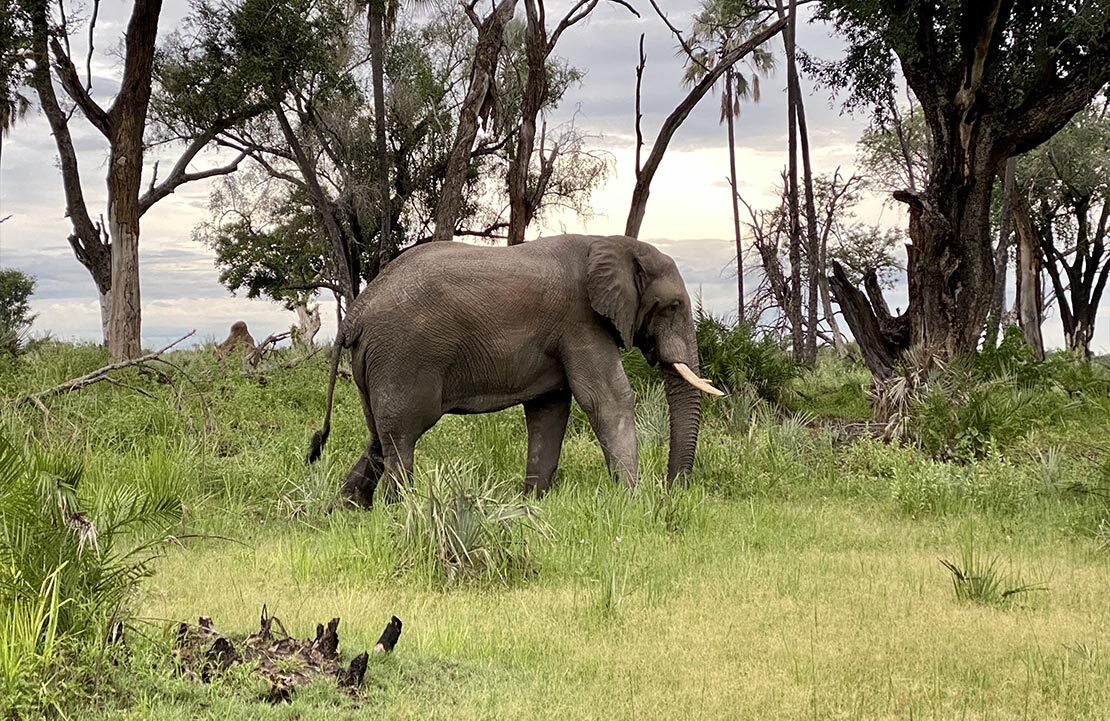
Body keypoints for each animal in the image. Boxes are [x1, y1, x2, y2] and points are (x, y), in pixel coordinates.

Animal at [306, 231, 719, 505]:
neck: (616, 243)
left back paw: (346, 512)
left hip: (376, 363)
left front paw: (533, 503)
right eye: (673, 307)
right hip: (402, 357)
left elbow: (549, 409)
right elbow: (607, 398)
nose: (672, 490)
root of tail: (356, 313)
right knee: (401, 440)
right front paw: (633, 502)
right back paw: (397, 511)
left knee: (378, 437)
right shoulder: (581, 321)